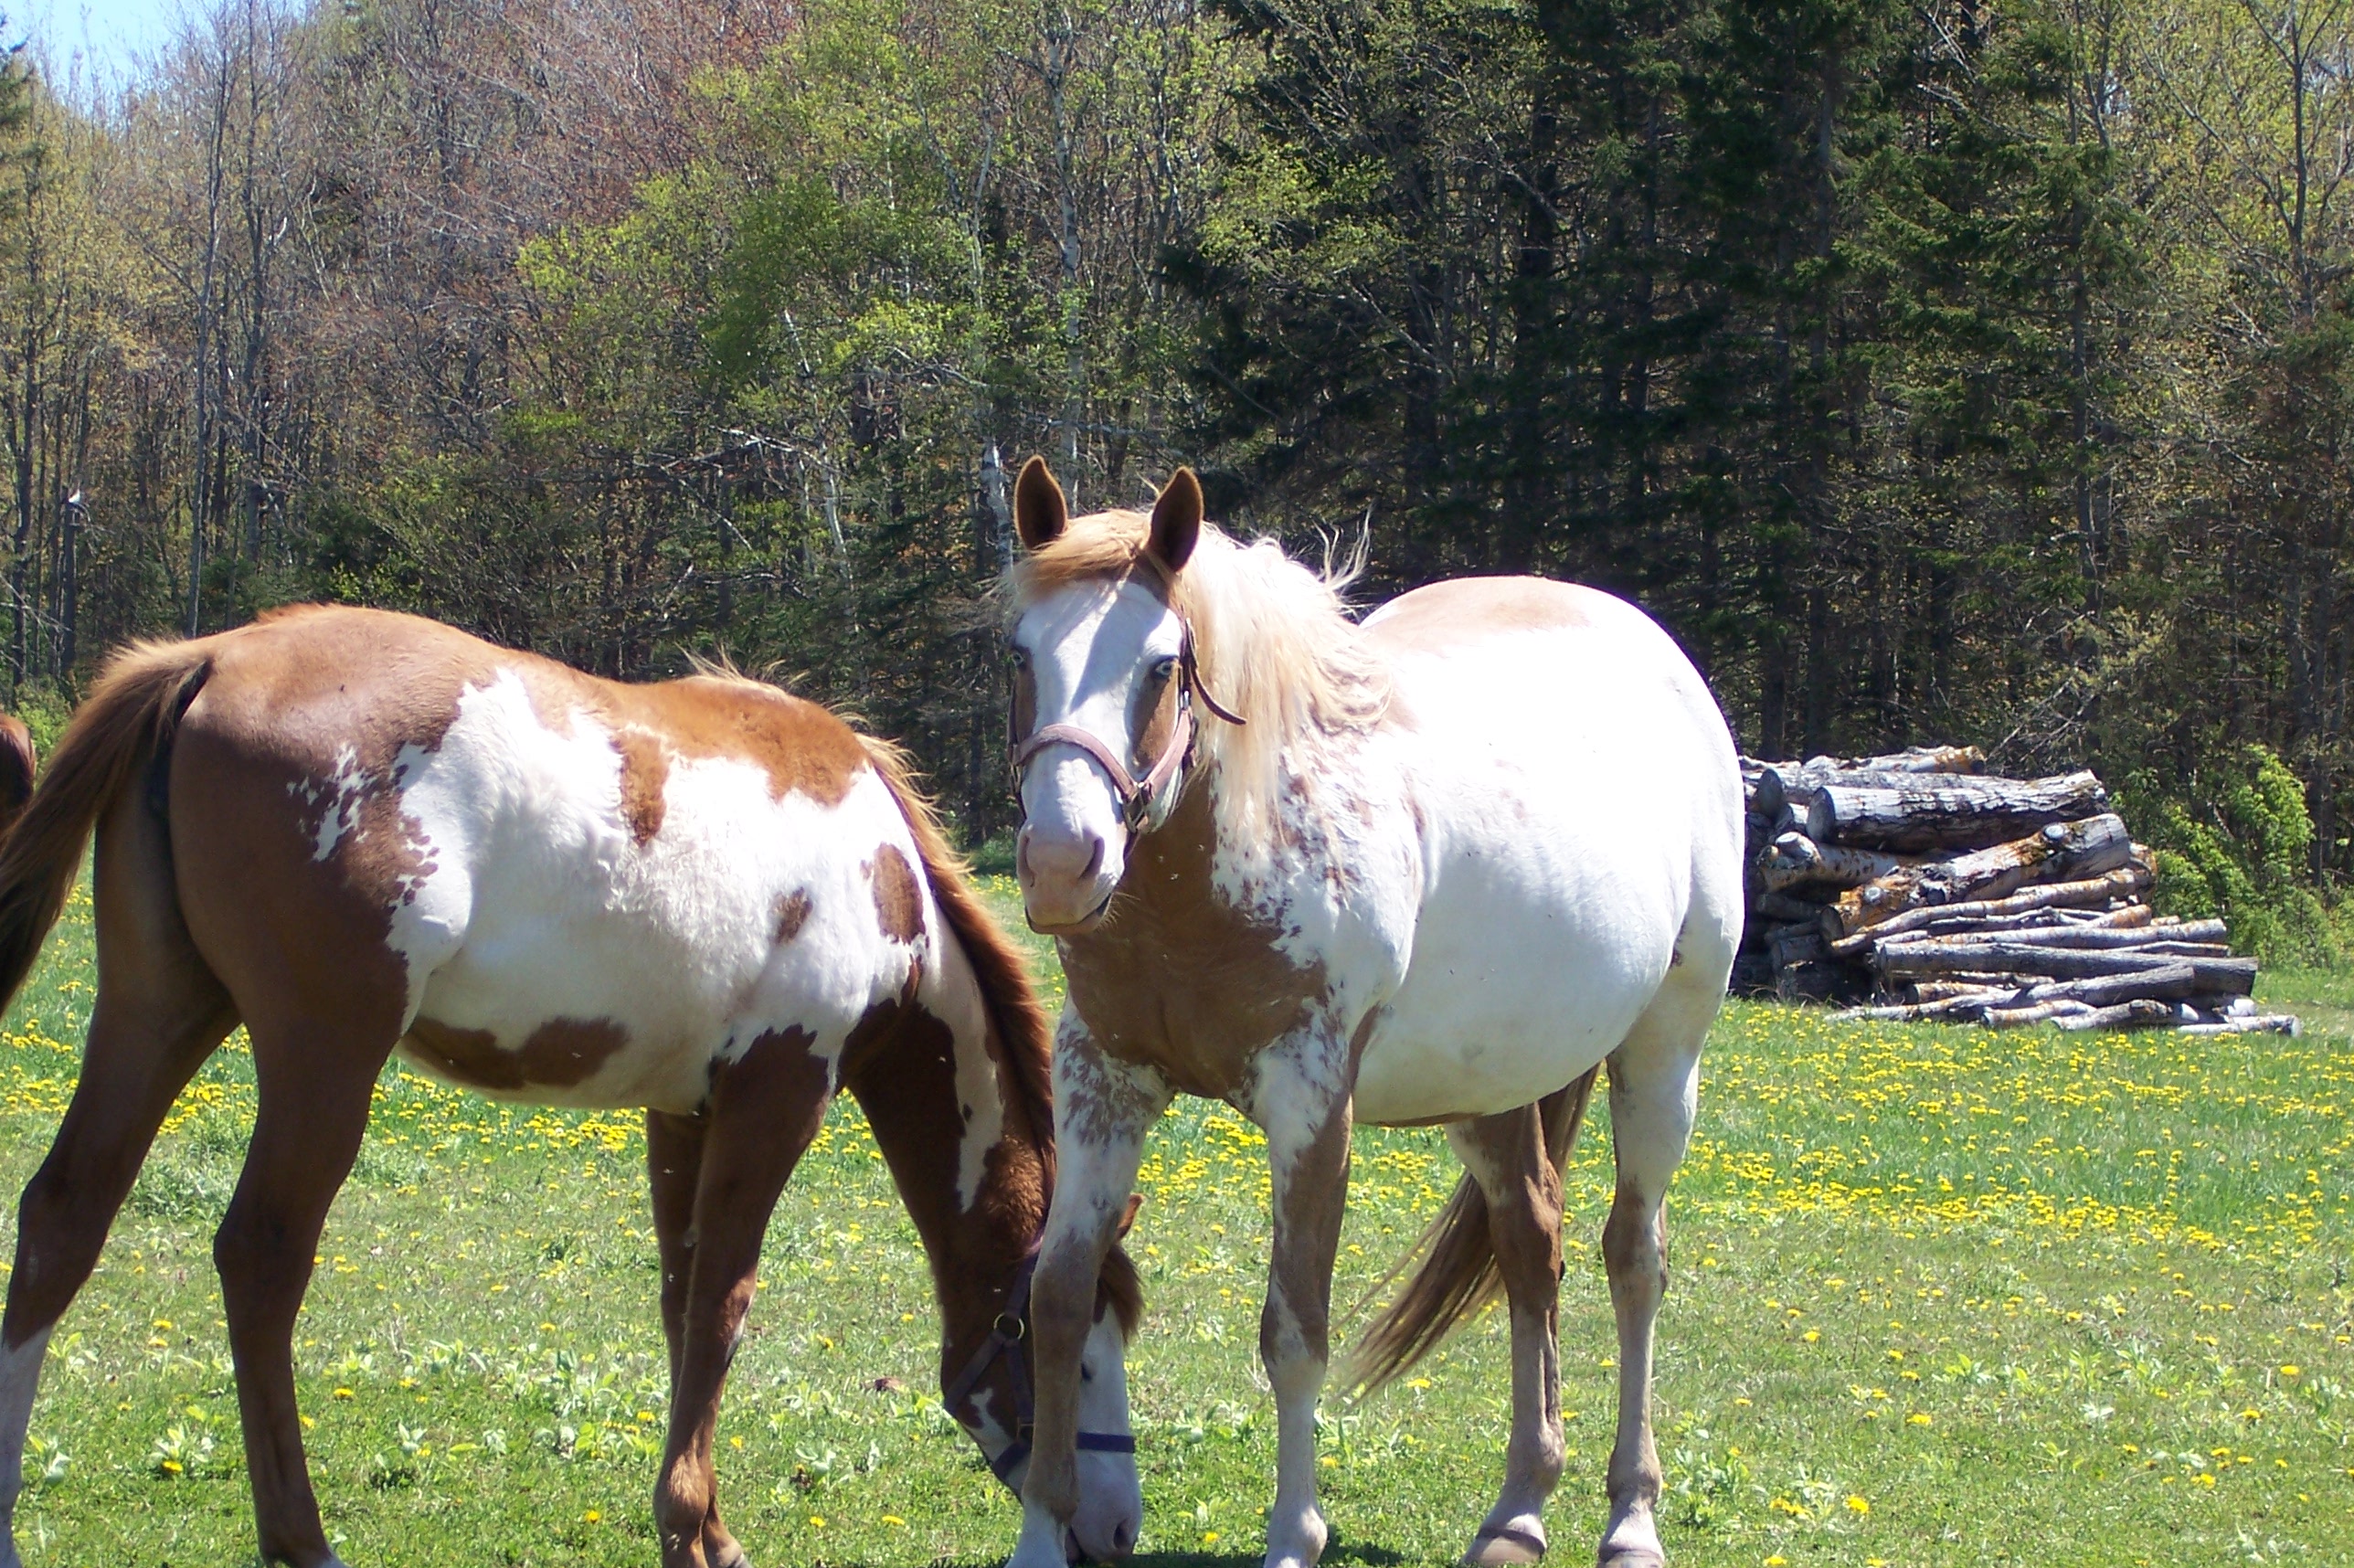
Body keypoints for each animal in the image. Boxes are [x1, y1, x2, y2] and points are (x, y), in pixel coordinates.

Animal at [0, 604, 1147, 1568]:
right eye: (1079, 1353)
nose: (1116, 1530)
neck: (879, 872)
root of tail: (210, 659)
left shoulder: (684, 1109)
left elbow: (682, 1304)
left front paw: (700, 1524)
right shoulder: (777, 1095)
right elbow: (723, 1307)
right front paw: (693, 1532)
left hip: (160, 1011)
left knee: (63, 1216)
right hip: (323, 1056)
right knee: (262, 1256)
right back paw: (302, 1539)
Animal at [996, 459, 1742, 1568]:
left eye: (1162, 666)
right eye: (1021, 655)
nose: (1060, 863)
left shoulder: (1311, 1105)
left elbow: (1294, 1331)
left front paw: (1291, 1536)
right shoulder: (1103, 1081)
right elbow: (1057, 1295)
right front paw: (1043, 1536)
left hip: (1662, 1059)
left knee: (1633, 1261)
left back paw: (1630, 1517)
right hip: (1489, 1089)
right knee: (1533, 1248)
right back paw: (1517, 1509)